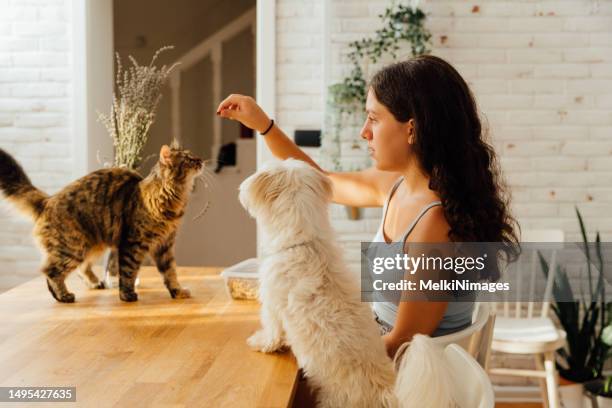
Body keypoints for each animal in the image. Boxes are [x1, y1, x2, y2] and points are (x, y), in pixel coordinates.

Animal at [0, 145, 204, 302]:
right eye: (188, 159)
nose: (201, 160)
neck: (170, 200)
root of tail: (48, 200)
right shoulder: (133, 244)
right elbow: (128, 272)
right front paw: (127, 295)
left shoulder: (165, 246)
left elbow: (170, 272)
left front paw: (177, 292)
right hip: (72, 247)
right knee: (51, 271)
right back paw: (64, 296)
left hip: (92, 245)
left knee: (81, 268)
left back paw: (95, 283)